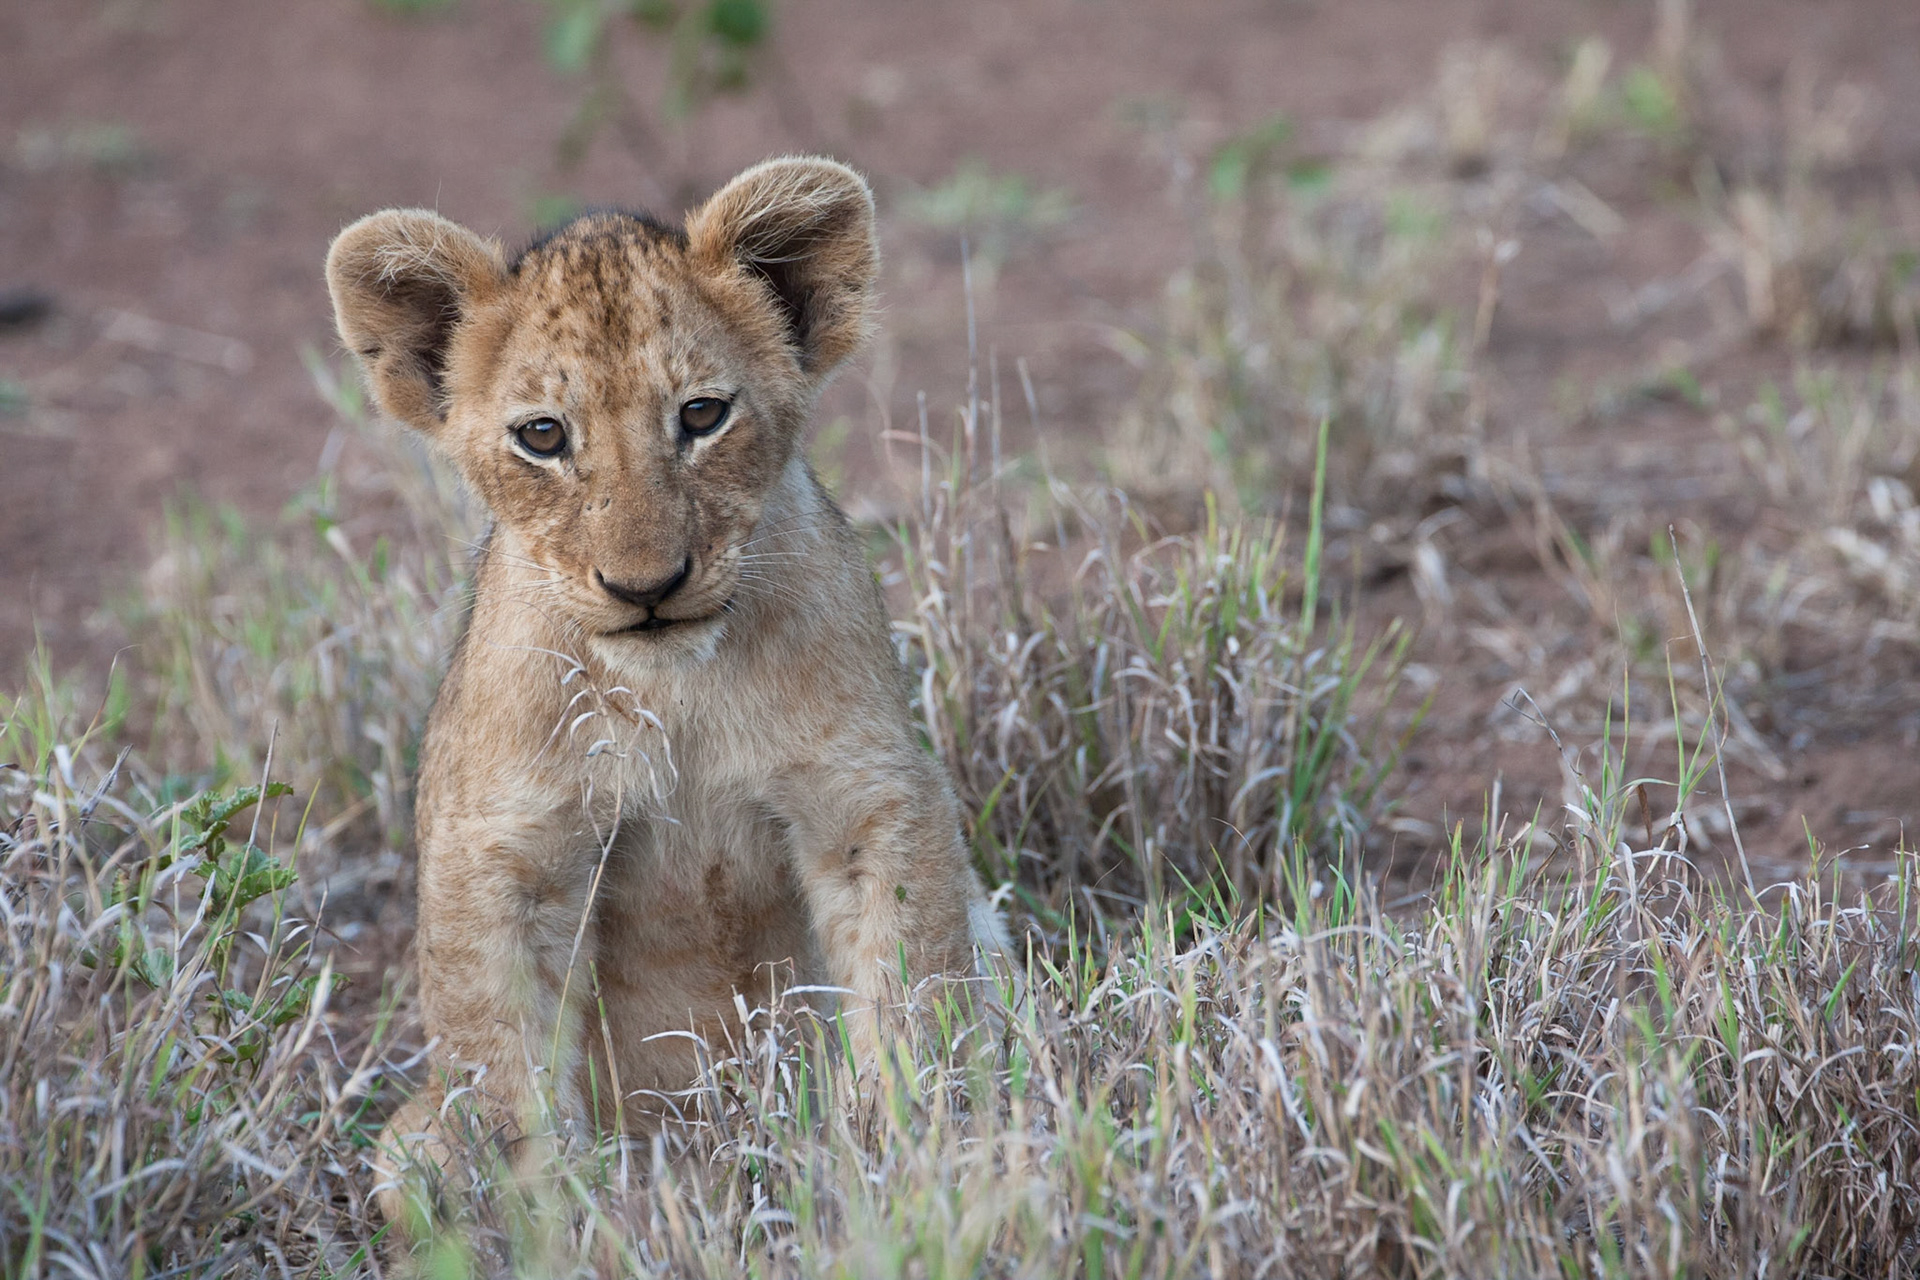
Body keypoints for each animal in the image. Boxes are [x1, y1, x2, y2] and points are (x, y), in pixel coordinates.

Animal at [324, 157, 1009, 1228]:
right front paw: (540, 1224)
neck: (676, 692)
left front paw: (909, 1161)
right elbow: (506, 1066)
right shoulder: (501, 855)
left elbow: (910, 993)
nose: (646, 586)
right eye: (543, 435)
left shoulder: (868, 801)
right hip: (404, 1140)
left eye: (700, 415)